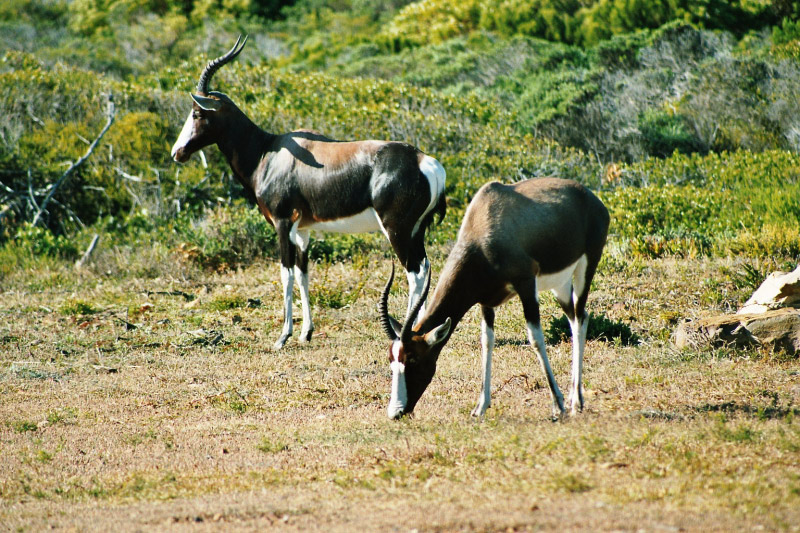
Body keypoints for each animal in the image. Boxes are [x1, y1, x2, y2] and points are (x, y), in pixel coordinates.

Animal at [172, 35, 446, 348]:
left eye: (196, 112)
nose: (177, 152)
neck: (269, 151)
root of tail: (425, 162)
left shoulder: (282, 222)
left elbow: (286, 274)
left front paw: (283, 336)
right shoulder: (303, 229)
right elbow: (303, 274)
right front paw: (305, 333)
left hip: (396, 230)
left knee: (415, 273)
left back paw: (406, 333)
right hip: (416, 231)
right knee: (424, 268)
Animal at [378, 177, 608, 418]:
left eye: (413, 358)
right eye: (391, 360)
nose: (396, 412)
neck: (484, 224)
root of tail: (592, 199)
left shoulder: (526, 284)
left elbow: (535, 338)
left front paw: (557, 404)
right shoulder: (486, 302)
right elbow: (487, 342)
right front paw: (480, 407)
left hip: (586, 267)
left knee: (580, 317)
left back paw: (576, 402)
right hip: (560, 285)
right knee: (576, 318)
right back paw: (575, 398)